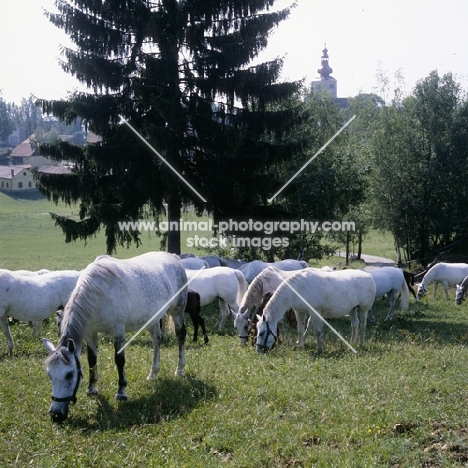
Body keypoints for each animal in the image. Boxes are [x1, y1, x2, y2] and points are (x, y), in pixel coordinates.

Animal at [43, 254, 187, 422]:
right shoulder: (90, 333)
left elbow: (119, 360)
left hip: (177, 311)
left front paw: (121, 391)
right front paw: (91, 388)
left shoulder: (118, 332)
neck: (98, 294)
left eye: (70, 374)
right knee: (157, 340)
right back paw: (153, 374)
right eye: (49, 374)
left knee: (180, 336)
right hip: (153, 318)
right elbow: (92, 360)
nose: (56, 415)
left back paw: (180, 369)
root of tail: (174, 257)